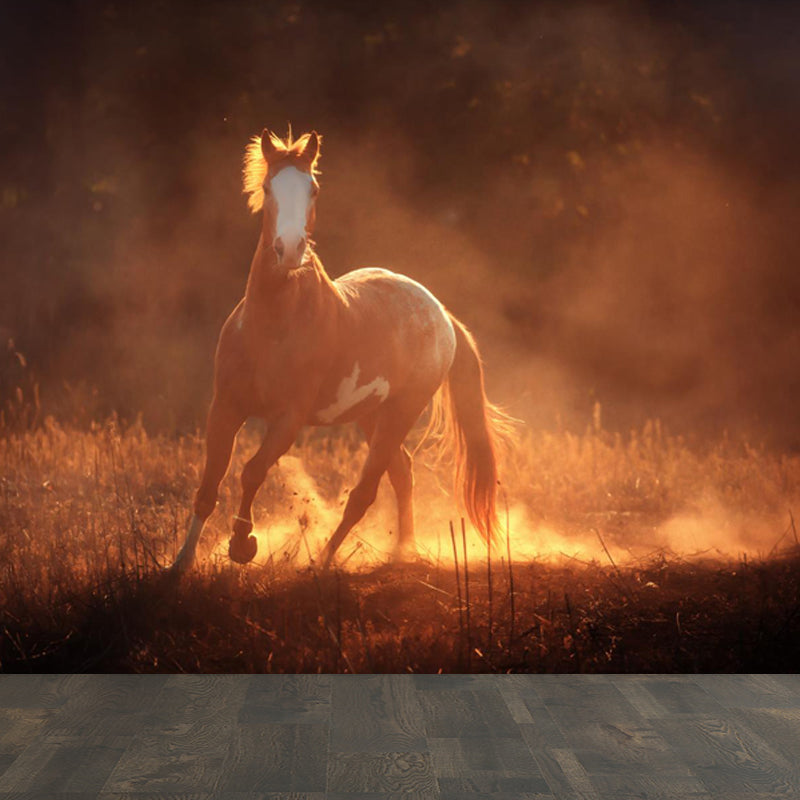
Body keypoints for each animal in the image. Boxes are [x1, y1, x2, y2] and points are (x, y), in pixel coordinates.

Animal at [169, 129, 508, 573]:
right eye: (267, 187)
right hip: (371, 415)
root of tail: (442, 315)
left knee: (366, 492)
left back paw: (322, 561)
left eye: (312, 189)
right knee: (402, 473)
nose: (289, 249)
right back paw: (401, 552)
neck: (271, 325)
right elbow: (211, 483)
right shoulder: (225, 407)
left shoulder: (289, 418)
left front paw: (243, 545)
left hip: (402, 411)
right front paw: (180, 563)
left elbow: (251, 471)